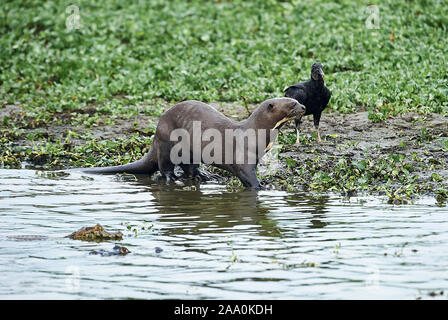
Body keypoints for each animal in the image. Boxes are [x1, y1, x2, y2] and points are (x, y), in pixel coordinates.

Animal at [81, 98, 304, 190]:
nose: (304, 106)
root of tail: (155, 133)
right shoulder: (243, 159)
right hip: (167, 142)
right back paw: (172, 178)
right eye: (292, 103)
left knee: (190, 167)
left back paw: (205, 175)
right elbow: (248, 176)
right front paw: (261, 187)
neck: (255, 133)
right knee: (164, 166)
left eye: (297, 100)